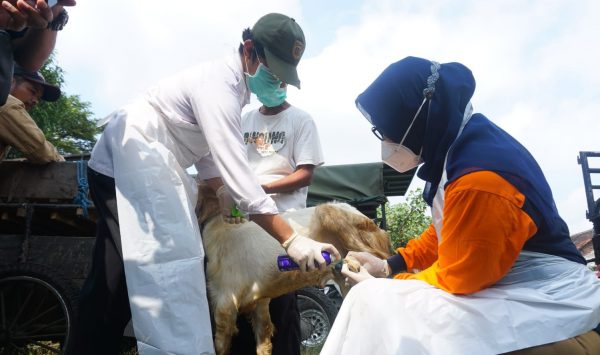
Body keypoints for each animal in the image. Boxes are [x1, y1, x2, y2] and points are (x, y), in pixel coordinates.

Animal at [197, 184, 394, 355]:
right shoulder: (259, 302)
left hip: (330, 214)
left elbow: (220, 345)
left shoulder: (224, 302)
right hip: (345, 282)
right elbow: (263, 342)